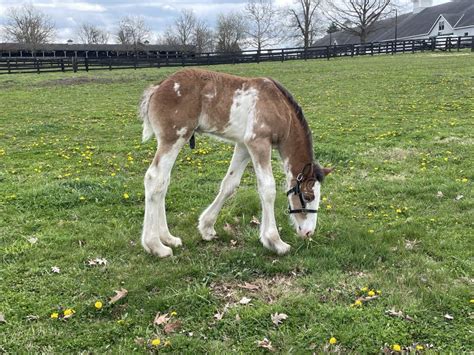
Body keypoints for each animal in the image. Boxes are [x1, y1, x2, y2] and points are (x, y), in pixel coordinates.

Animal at [138, 69, 330, 258]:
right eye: (308, 197)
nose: (308, 232)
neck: (280, 109)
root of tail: (158, 87)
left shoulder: (243, 145)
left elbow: (230, 184)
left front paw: (206, 227)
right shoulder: (258, 142)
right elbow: (268, 188)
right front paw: (275, 242)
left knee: (164, 182)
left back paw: (168, 238)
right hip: (174, 137)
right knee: (155, 179)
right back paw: (156, 246)